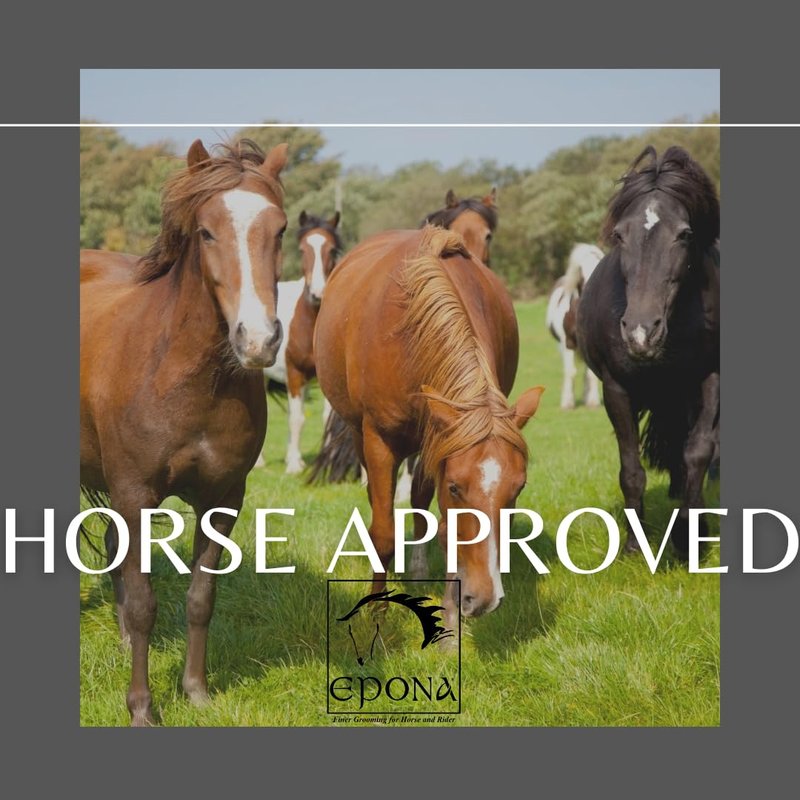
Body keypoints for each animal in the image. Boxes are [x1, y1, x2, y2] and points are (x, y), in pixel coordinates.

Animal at [80, 138, 289, 725]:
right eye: (207, 232)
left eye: (281, 230)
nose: (258, 340)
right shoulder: (134, 494)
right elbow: (146, 604)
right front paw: (142, 709)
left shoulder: (223, 500)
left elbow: (200, 599)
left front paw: (196, 691)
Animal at [261, 210, 342, 473]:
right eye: (302, 250)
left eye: (332, 249)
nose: (317, 294)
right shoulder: (295, 373)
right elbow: (297, 418)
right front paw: (294, 467)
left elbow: (325, 418)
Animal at [314, 226, 543, 630]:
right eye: (455, 488)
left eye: (518, 489)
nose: (485, 598)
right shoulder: (380, 441)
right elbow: (384, 533)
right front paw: (377, 609)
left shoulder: (438, 440)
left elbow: (437, 519)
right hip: (360, 433)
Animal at [545, 243, 604, 409]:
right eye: (581, 272)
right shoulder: (568, 343)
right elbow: (570, 371)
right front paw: (567, 403)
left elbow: (590, 373)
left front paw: (592, 401)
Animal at [577, 145, 720, 556]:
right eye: (619, 235)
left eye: (684, 234)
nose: (641, 332)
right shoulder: (616, 389)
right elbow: (631, 470)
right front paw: (632, 547)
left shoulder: (710, 376)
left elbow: (698, 452)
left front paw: (689, 540)